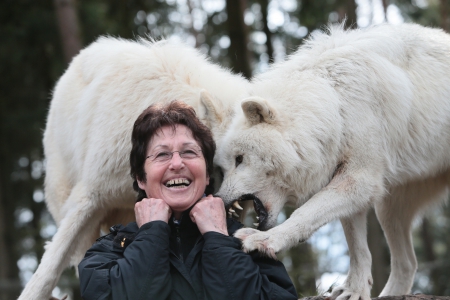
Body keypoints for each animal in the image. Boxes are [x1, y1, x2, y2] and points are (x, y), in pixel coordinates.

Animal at [214, 23, 450, 300]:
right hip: (389, 206)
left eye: (240, 159)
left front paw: (266, 240)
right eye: (223, 167)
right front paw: (354, 290)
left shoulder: (358, 178)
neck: (334, 105)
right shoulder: (348, 178)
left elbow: (305, 212)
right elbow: (358, 248)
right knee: (408, 262)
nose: (219, 200)